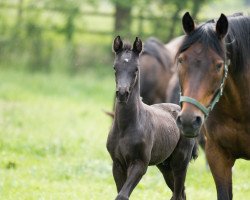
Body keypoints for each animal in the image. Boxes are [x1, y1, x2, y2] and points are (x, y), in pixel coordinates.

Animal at [106, 36, 196, 200]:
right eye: (115, 68)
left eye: (136, 69)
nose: (122, 93)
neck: (126, 126)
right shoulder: (117, 164)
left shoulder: (140, 164)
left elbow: (122, 195)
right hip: (165, 165)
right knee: (181, 192)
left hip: (180, 162)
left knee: (177, 194)